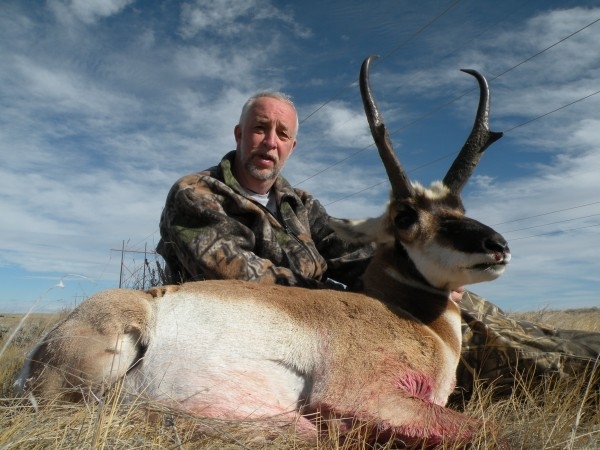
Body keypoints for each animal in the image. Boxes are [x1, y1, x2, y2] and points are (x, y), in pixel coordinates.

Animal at [15, 57, 510, 446]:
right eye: (406, 216)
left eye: (459, 207)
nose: (499, 246)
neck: (410, 318)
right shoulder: (364, 397)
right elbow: (495, 430)